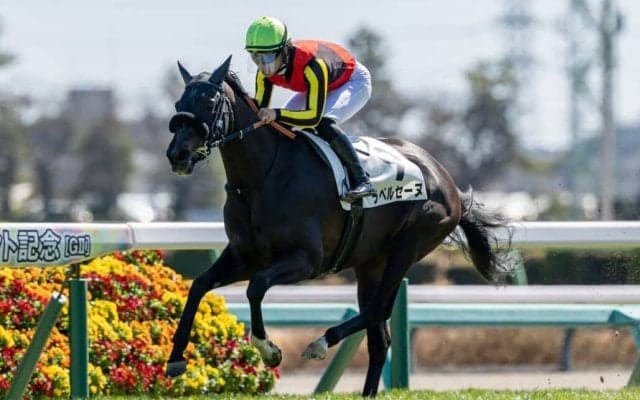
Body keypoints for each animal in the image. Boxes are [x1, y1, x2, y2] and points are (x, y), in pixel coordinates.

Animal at [164, 55, 513, 397]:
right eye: (179, 101)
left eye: (210, 101)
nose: (177, 155)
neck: (261, 178)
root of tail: (446, 180)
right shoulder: (244, 257)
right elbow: (199, 285)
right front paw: (175, 359)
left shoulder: (306, 261)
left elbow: (256, 288)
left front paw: (269, 349)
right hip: (371, 263)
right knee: (379, 337)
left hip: (409, 245)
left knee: (378, 311)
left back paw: (320, 342)